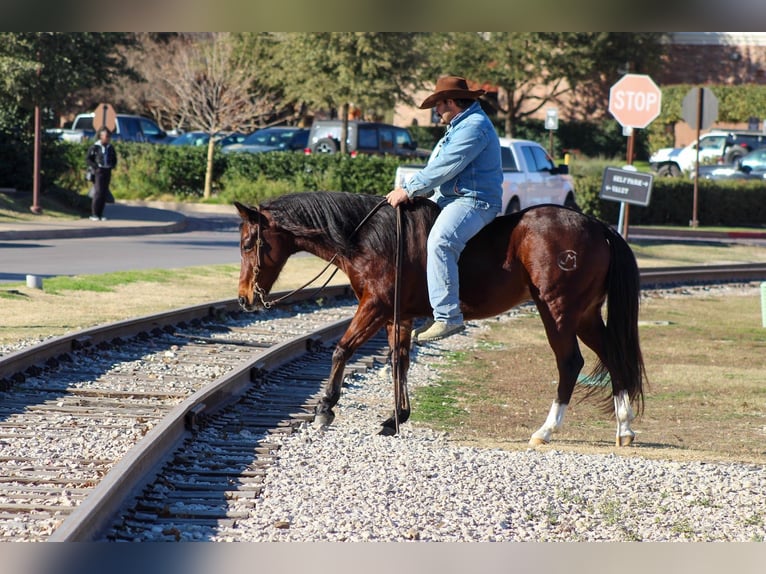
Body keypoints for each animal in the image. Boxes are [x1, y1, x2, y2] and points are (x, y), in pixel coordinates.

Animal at [235, 191, 647, 447]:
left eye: (247, 243)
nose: (244, 299)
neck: (368, 239)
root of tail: (598, 227)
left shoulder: (375, 307)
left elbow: (342, 350)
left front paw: (325, 408)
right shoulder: (397, 318)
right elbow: (398, 362)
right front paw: (396, 417)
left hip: (558, 311)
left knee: (570, 363)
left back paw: (545, 430)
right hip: (585, 315)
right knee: (613, 356)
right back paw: (624, 426)